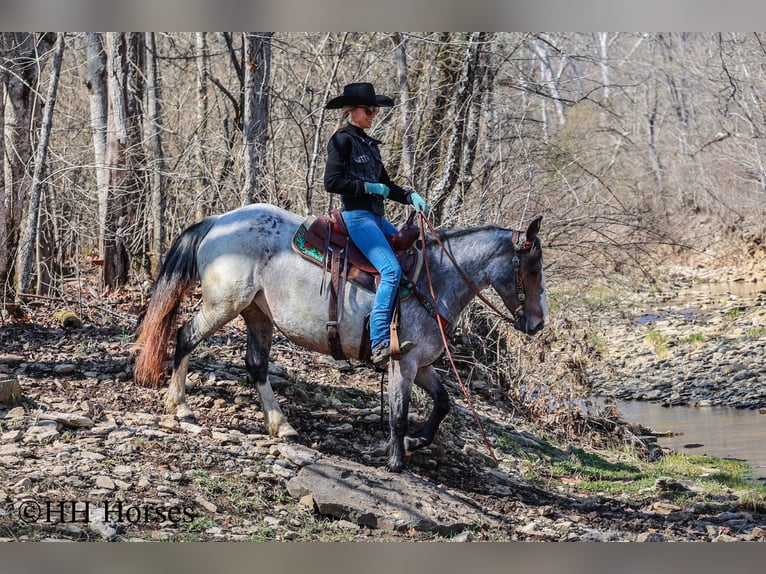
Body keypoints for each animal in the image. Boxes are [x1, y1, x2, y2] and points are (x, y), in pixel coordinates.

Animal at [133, 203, 546, 472]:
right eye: (533, 268)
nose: (538, 323)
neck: (434, 280)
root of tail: (219, 220)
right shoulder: (403, 361)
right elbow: (399, 414)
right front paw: (397, 460)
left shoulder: (423, 363)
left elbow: (443, 403)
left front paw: (415, 443)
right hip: (224, 305)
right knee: (186, 337)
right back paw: (180, 405)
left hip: (257, 313)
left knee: (257, 365)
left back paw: (281, 424)